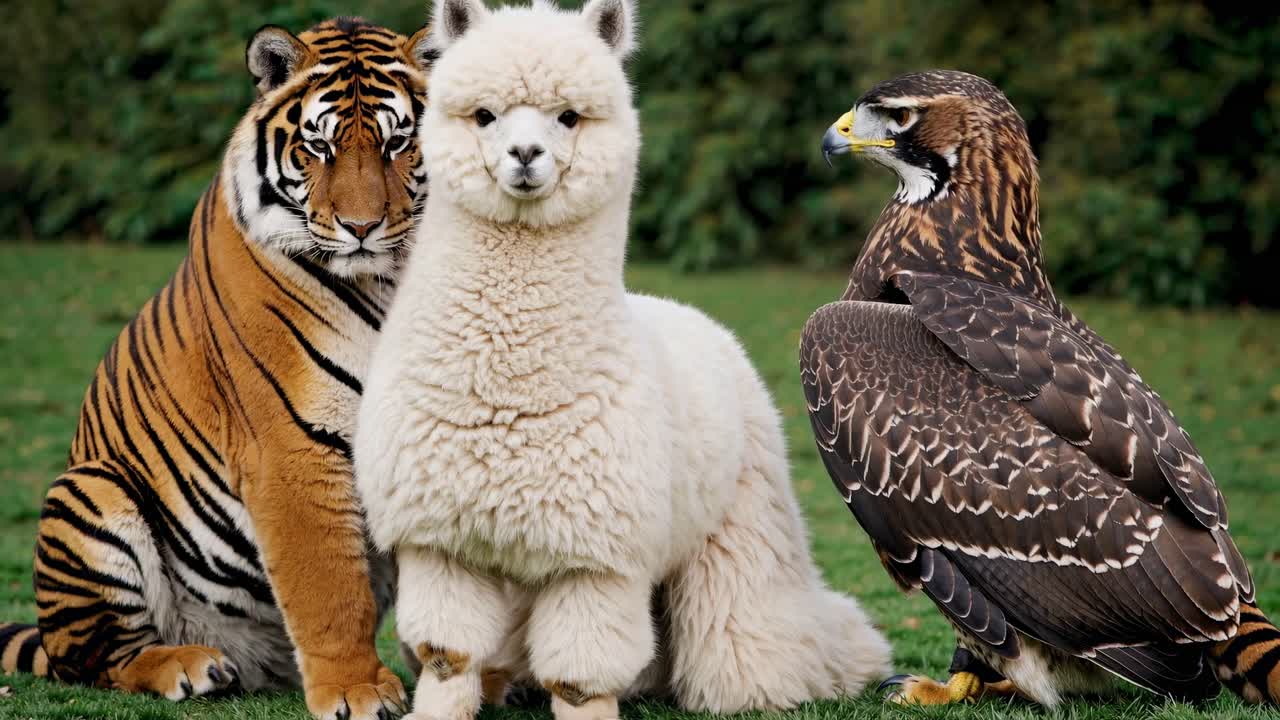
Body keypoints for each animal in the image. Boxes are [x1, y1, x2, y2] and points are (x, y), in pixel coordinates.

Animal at [0, 17, 434, 720]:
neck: (386, 281)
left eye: (398, 143)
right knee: (97, 659)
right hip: (90, 493)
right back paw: (190, 666)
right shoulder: (290, 444)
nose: (362, 227)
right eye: (319, 147)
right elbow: (330, 586)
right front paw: (356, 691)